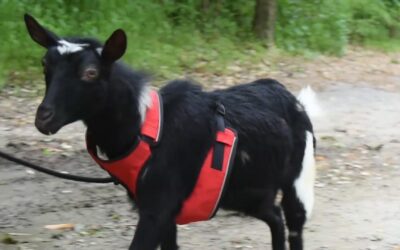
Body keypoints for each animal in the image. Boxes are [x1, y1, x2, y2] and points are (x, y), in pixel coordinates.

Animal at [25, 14, 318, 250]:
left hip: (299, 175)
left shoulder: (157, 207)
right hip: (248, 192)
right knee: (274, 216)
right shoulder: (164, 212)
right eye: (44, 63)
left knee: (294, 224)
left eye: (90, 72)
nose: (43, 117)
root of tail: (292, 98)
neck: (146, 129)